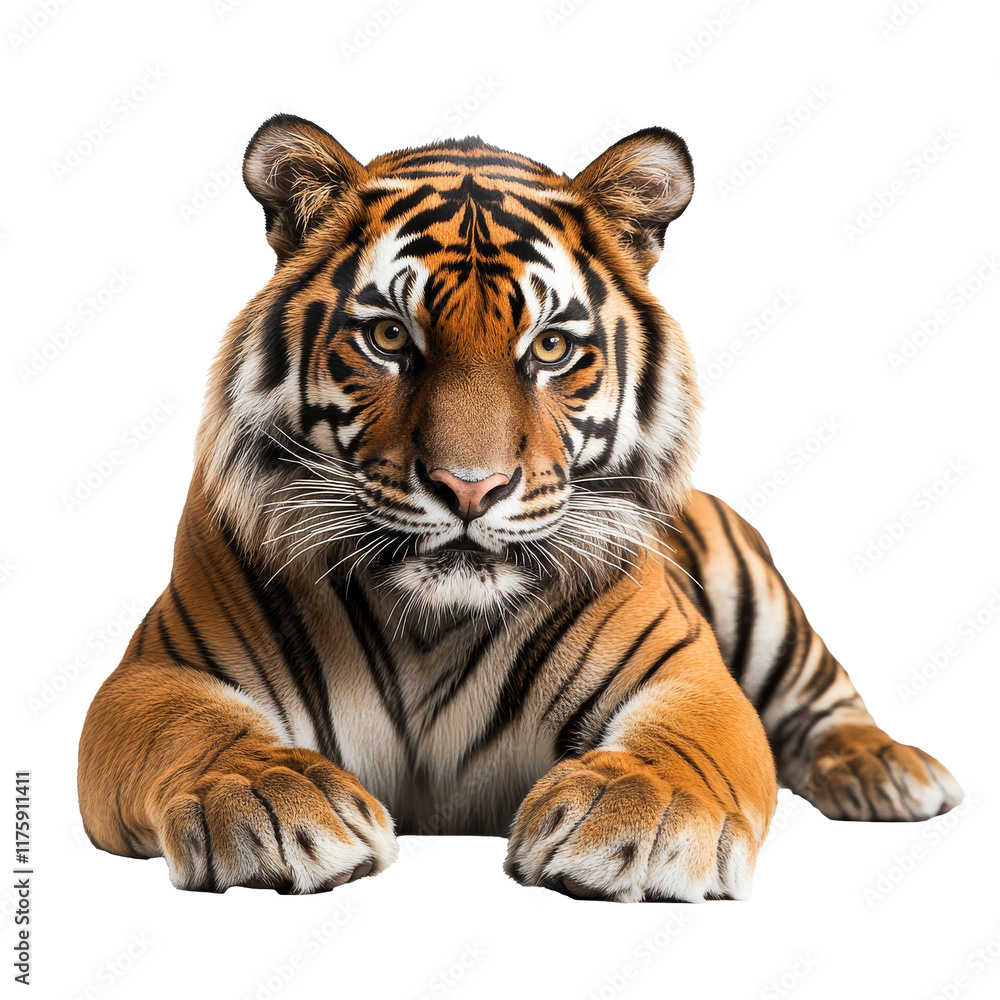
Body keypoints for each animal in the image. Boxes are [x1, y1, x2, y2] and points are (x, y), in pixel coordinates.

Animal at [77, 114, 963, 902]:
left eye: (551, 347)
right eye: (390, 338)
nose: (471, 487)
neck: (428, 629)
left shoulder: (687, 669)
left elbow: (684, 743)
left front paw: (641, 821)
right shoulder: (157, 674)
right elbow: (199, 731)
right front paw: (266, 800)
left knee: (828, 697)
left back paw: (889, 771)